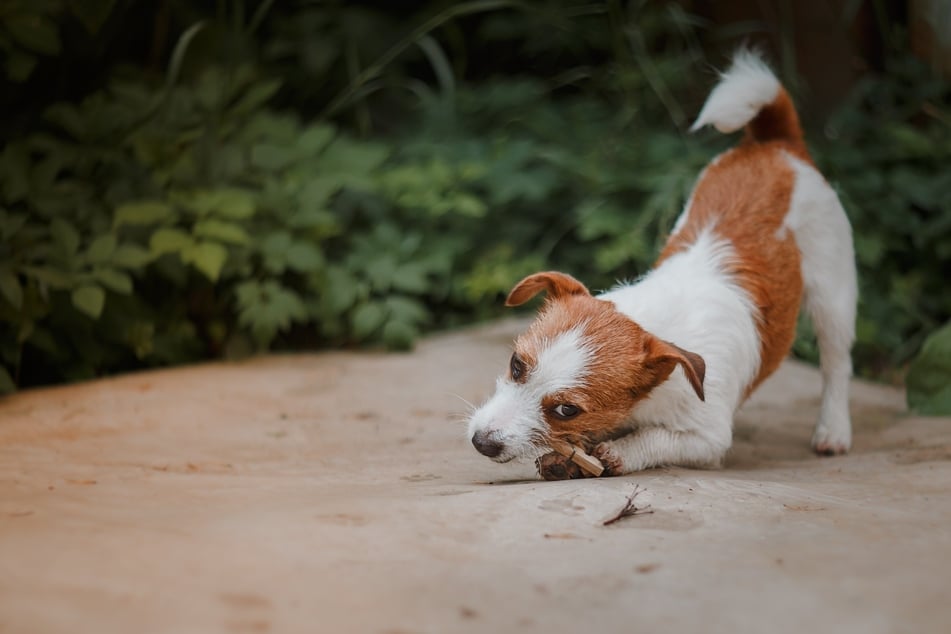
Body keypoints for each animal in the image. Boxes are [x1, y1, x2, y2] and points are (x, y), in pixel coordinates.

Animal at [464, 50, 860, 478]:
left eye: (567, 410)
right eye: (516, 365)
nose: (481, 442)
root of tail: (777, 146)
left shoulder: (708, 437)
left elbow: (655, 439)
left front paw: (618, 451)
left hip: (834, 294)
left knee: (837, 364)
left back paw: (833, 431)